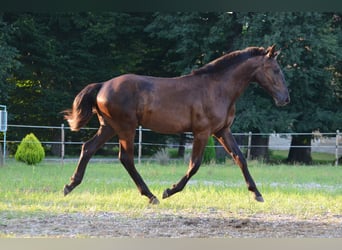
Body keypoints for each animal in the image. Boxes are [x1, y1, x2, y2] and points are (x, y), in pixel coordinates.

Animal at [62, 45, 290, 204]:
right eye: (276, 70)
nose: (285, 99)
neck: (217, 88)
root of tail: (102, 86)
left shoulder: (222, 131)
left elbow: (240, 158)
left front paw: (257, 194)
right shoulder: (202, 132)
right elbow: (194, 165)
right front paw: (169, 191)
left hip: (109, 127)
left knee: (88, 148)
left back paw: (70, 185)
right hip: (126, 128)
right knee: (125, 158)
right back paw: (151, 195)